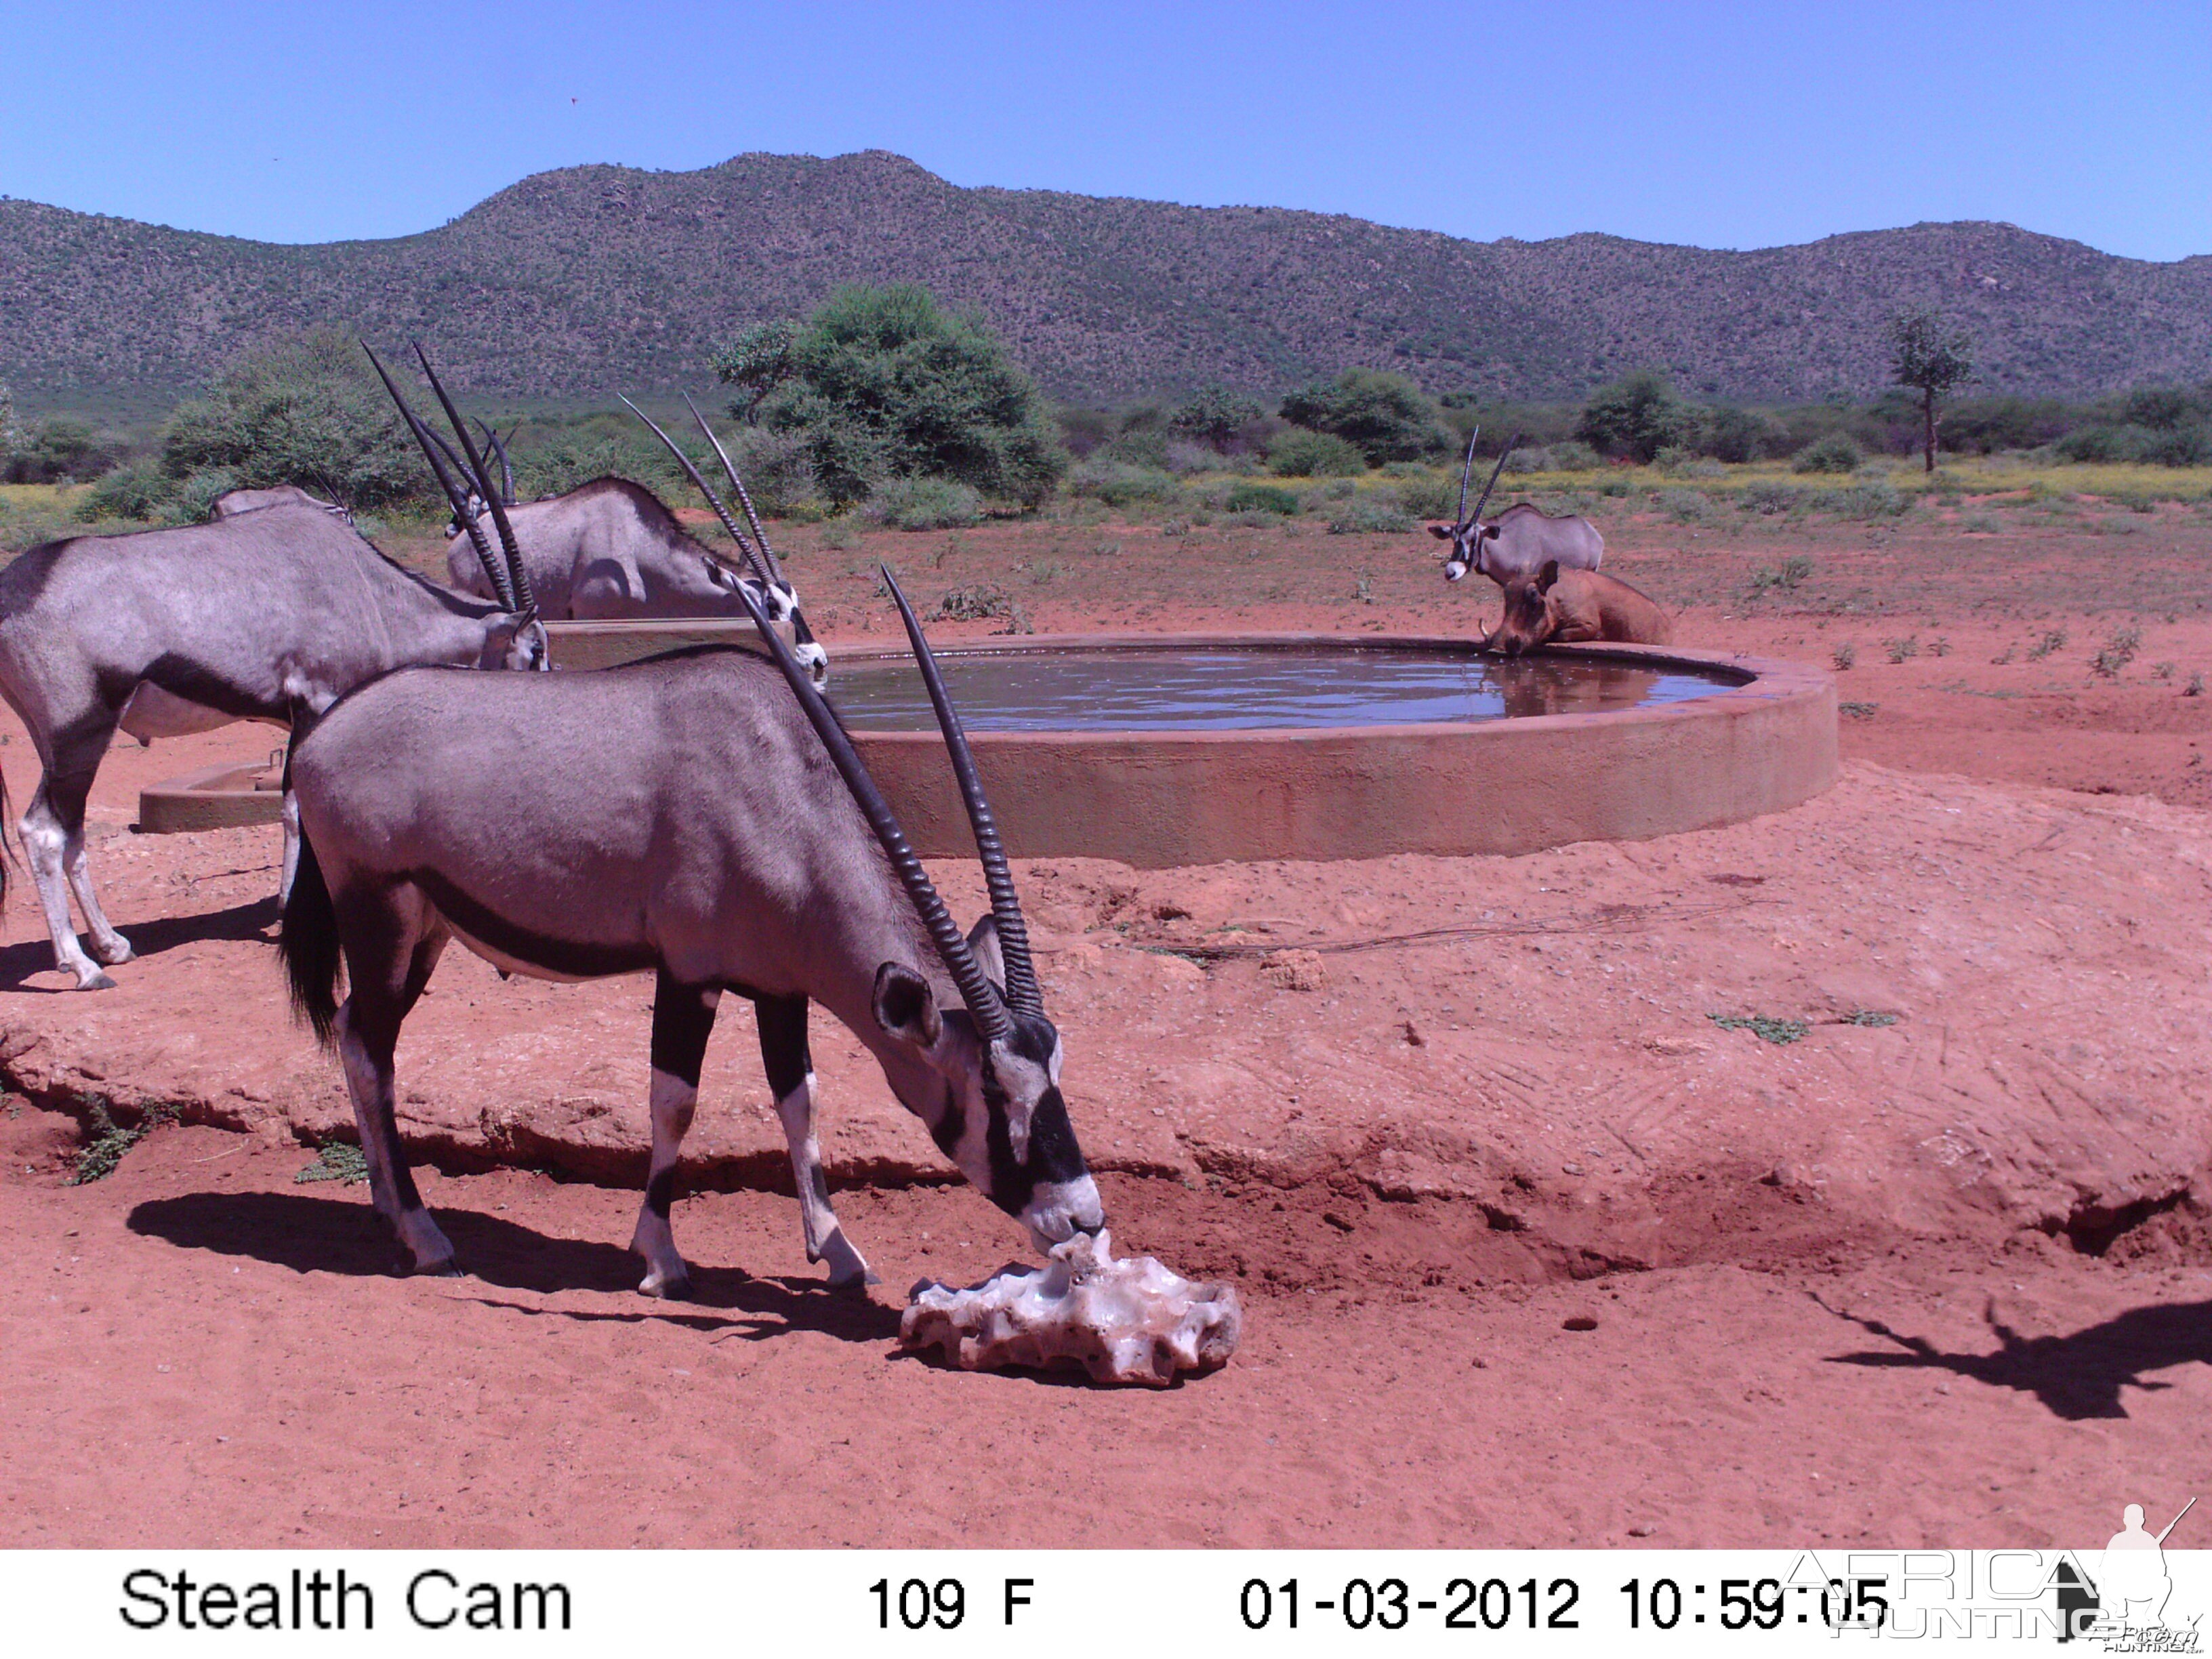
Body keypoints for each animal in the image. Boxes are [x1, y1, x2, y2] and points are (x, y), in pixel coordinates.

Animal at [0, 347, 539, 986]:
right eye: (535, 651)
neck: (367, 586)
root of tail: (13, 590)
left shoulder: (295, 714)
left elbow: (288, 807)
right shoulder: (318, 700)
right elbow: (298, 809)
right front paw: (297, 911)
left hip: (56, 739)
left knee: (73, 832)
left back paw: (112, 945)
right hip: (79, 731)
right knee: (43, 830)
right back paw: (81, 965)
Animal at [279, 571, 1106, 1300]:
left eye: (1057, 1070)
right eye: (991, 1092)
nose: (1084, 1222)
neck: (776, 782)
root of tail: (319, 736)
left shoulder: (780, 986)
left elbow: (800, 1100)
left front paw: (838, 1254)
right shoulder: (688, 973)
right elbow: (674, 1101)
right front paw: (660, 1259)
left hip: (425, 931)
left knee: (355, 1033)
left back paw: (387, 1207)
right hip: (380, 916)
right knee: (373, 1053)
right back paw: (425, 1236)